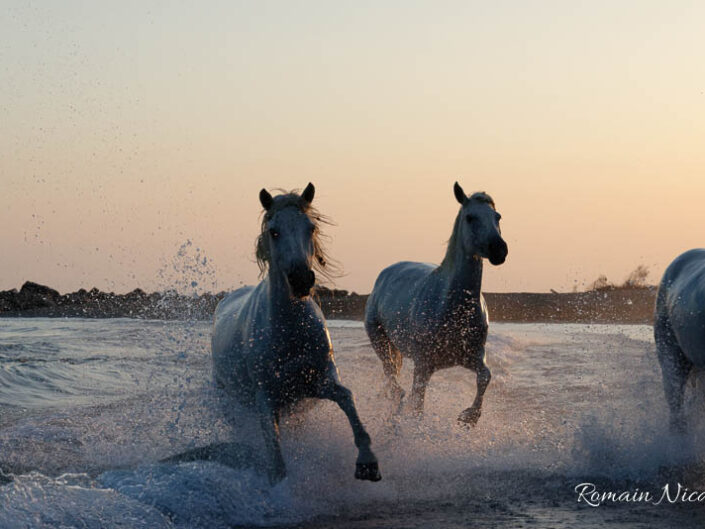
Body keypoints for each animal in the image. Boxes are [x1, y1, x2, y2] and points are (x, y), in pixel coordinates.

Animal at [212, 183, 382, 482]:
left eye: (310, 227)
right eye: (274, 231)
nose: (302, 279)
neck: (290, 332)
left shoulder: (317, 382)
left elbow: (347, 398)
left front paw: (367, 462)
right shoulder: (266, 401)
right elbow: (277, 462)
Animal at [364, 184, 506, 422]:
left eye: (498, 216)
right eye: (470, 217)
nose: (499, 249)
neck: (452, 309)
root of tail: (384, 275)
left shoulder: (473, 356)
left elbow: (485, 376)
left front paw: (469, 418)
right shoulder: (423, 365)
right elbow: (417, 405)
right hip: (380, 341)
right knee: (392, 378)